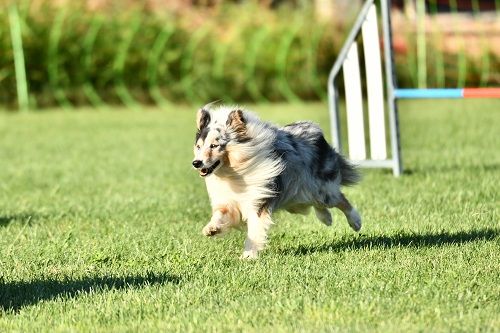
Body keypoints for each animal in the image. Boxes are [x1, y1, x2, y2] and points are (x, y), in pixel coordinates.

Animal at [190, 104, 360, 260]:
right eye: (198, 147)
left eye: (214, 146)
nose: (196, 163)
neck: (232, 172)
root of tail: (315, 130)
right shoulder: (229, 200)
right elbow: (220, 214)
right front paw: (211, 229)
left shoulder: (258, 200)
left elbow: (255, 229)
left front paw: (248, 255)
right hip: (297, 197)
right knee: (316, 203)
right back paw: (327, 219)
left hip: (320, 189)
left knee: (340, 199)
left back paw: (356, 222)